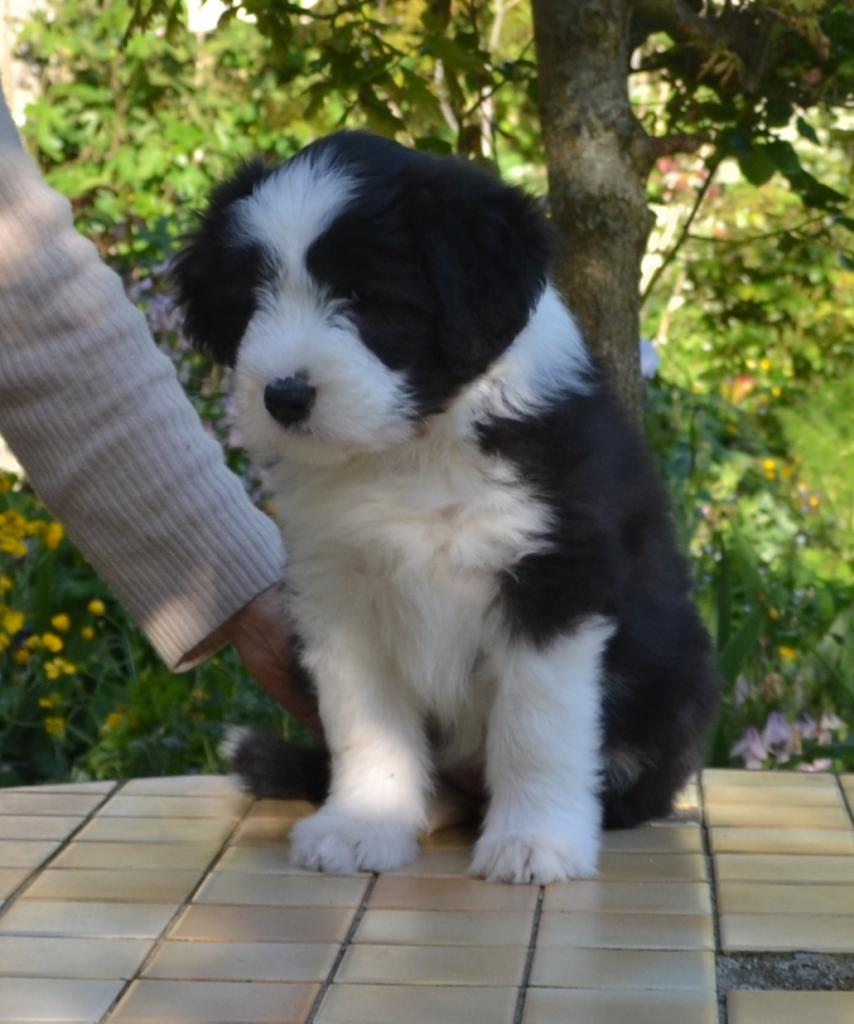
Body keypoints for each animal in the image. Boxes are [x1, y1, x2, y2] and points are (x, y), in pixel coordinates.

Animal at [173, 132, 720, 884]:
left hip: (676, 677)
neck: (413, 450)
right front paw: (365, 823)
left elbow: (536, 723)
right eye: (252, 298)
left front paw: (535, 840)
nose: (283, 397)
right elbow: (366, 721)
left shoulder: (553, 579)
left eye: (365, 296)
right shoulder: (338, 591)